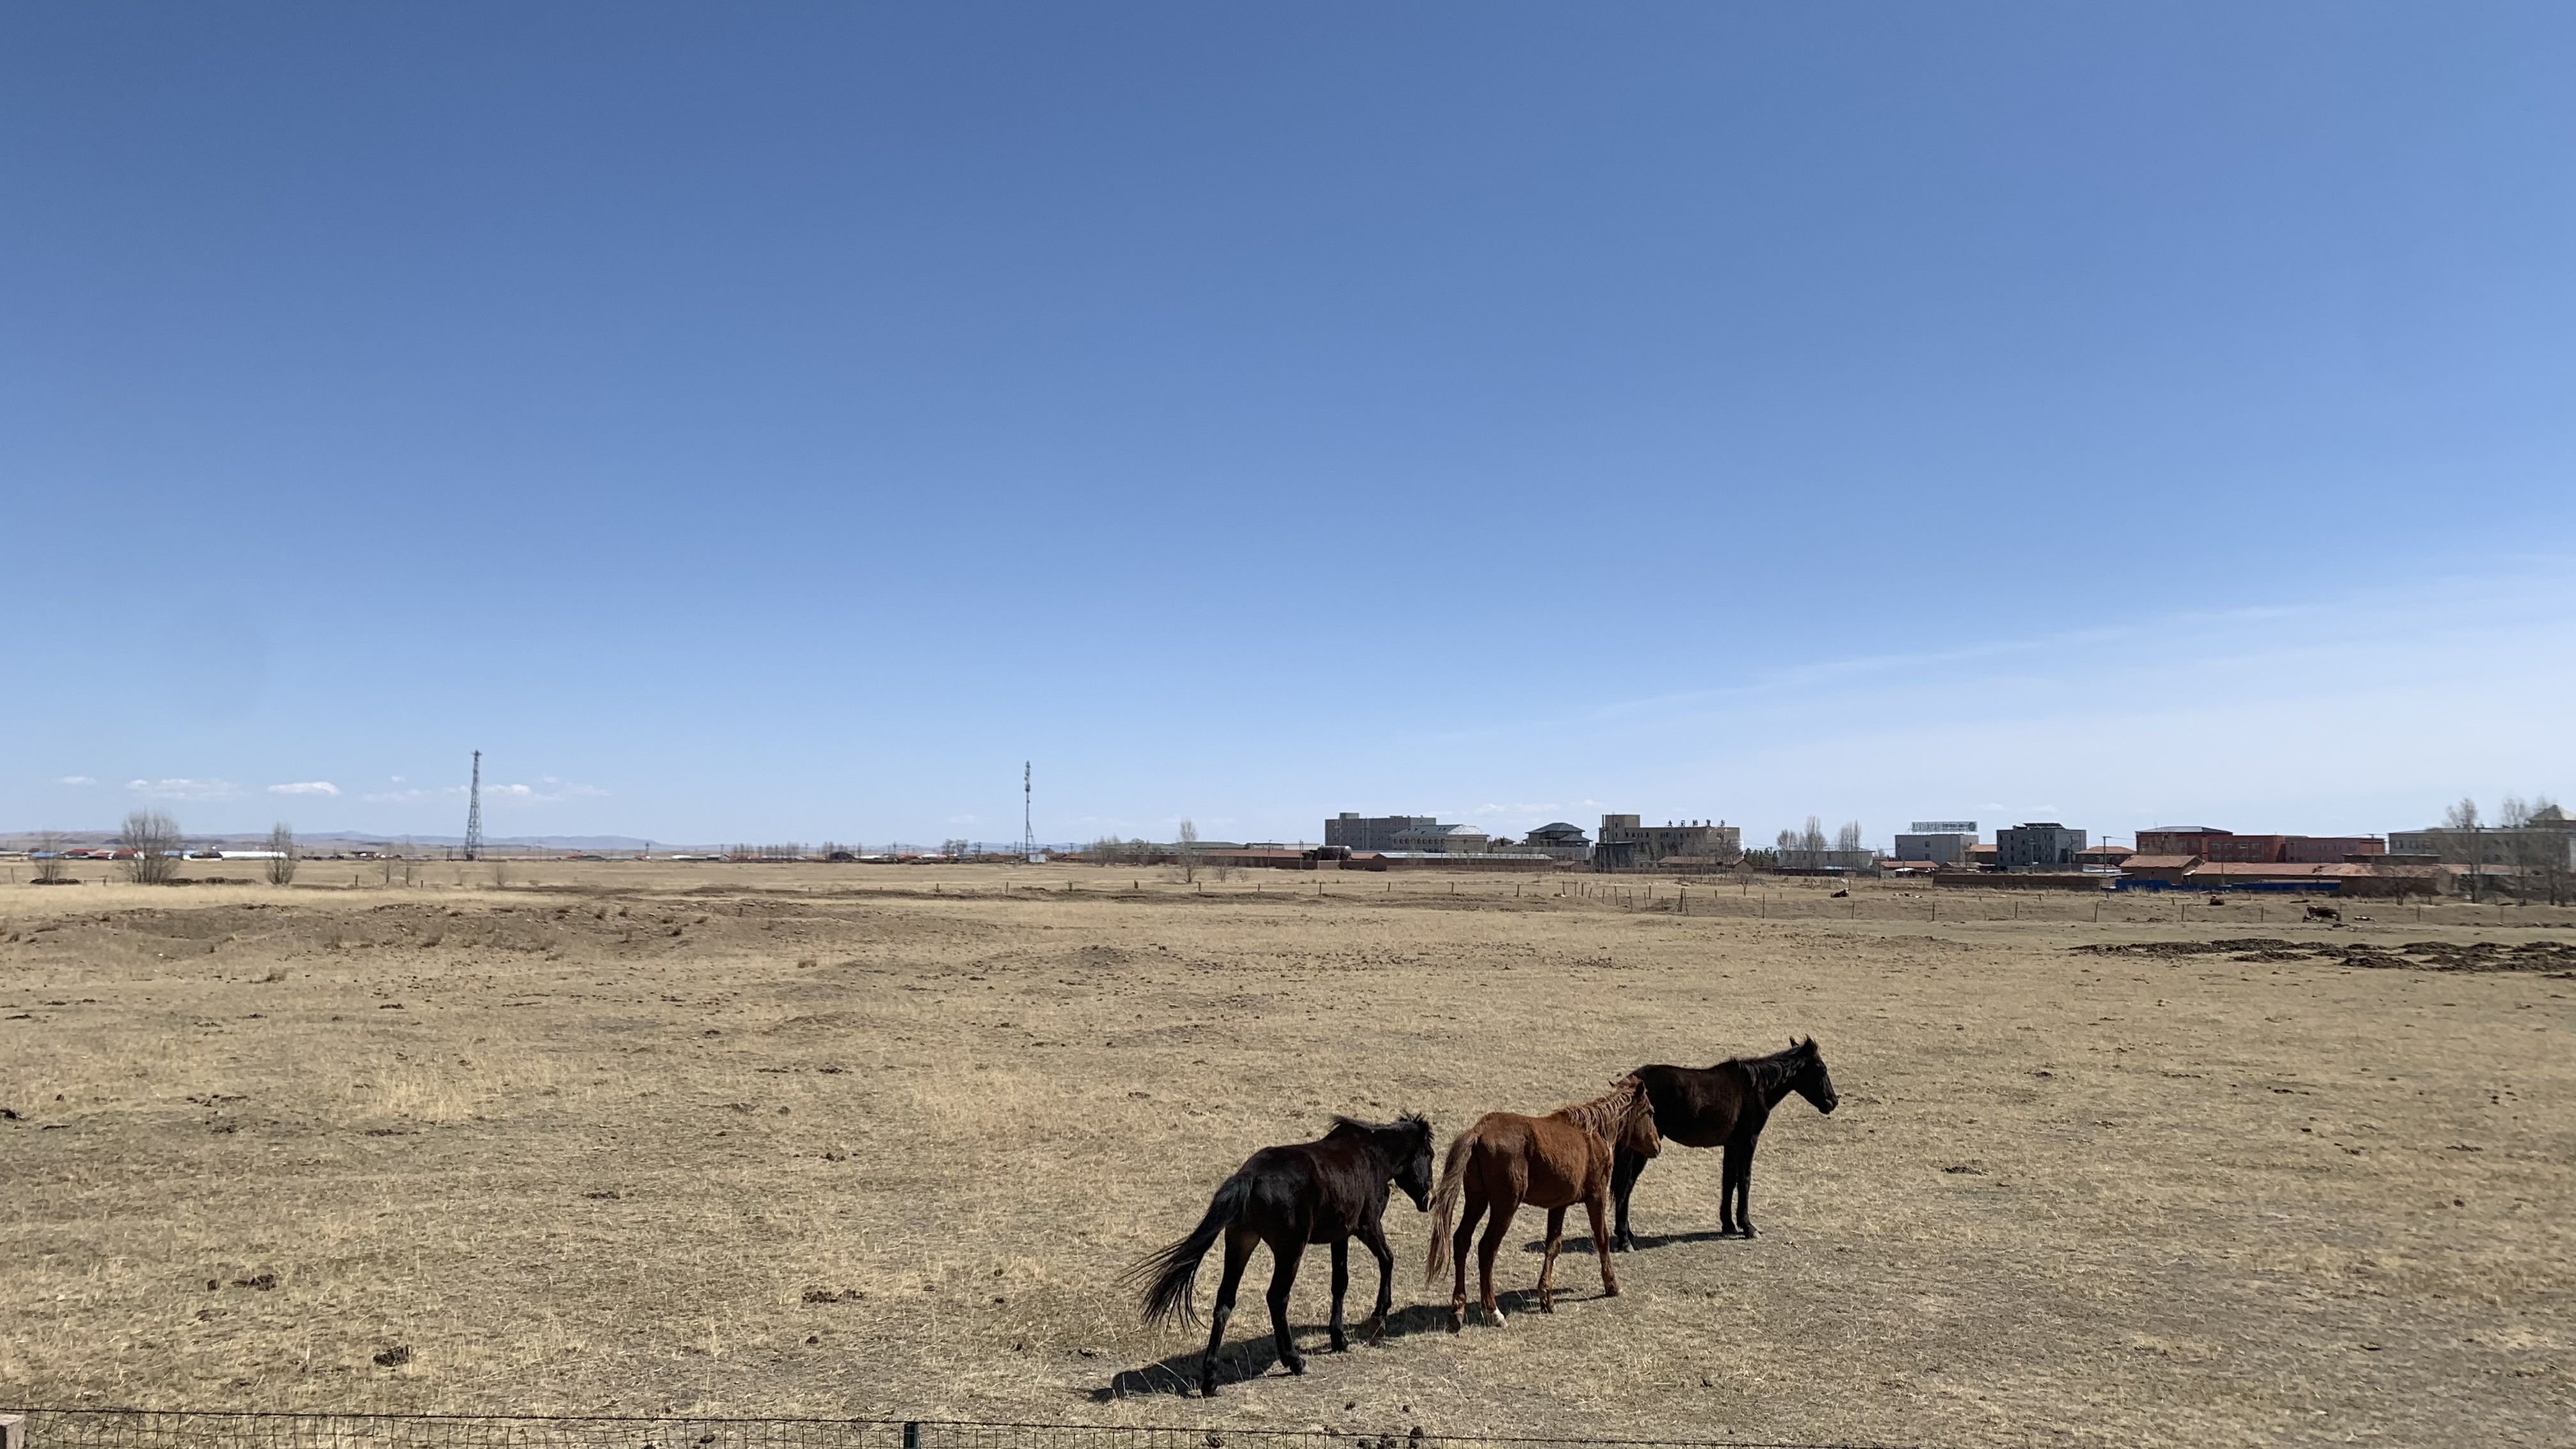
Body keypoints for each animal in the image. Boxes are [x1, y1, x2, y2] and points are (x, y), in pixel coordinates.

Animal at [1121, 1113, 1434, 1397]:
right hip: (1289, 1250)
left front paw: (1339, 1338)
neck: (1372, 1155)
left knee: (1225, 1302)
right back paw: (1294, 1361)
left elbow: (1340, 1283)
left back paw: (1210, 1380)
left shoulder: (1340, 1237)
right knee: (1277, 1298)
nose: (1427, 1201)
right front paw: (1378, 1317)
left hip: (1241, 1243)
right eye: (1429, 1156)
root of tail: (1249, 1177)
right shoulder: (1367, 1227)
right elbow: (1387, 1260)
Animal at [1423, 1076, 1660, 1330]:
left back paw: (1458, 1310)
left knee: (1461, 1241)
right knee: (1486, 1249)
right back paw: (1493, 1312)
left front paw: (1546, 1297)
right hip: (1505, 1206)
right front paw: (1611, 1285)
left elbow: (1553, 1246)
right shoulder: (1597, 1197)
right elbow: (1602, 1238)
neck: (1592, 1133)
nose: (1657, 1145)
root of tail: (1480, 1130)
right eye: (1650, 1112)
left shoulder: (1558, 1205)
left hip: (1477, 1201)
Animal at [1611, 1037, 1838, 1250]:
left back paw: (1628, 1235)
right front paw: (1749, 1227)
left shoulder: (1732, 1144)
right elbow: (1744, 1180)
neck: (1756, 1088)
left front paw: (1728, 1225)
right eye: (1822, 1069)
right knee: (1625, 1187)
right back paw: (1625, 1240)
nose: (1833, 1102)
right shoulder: (1748, 1141)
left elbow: (1729, 1180)